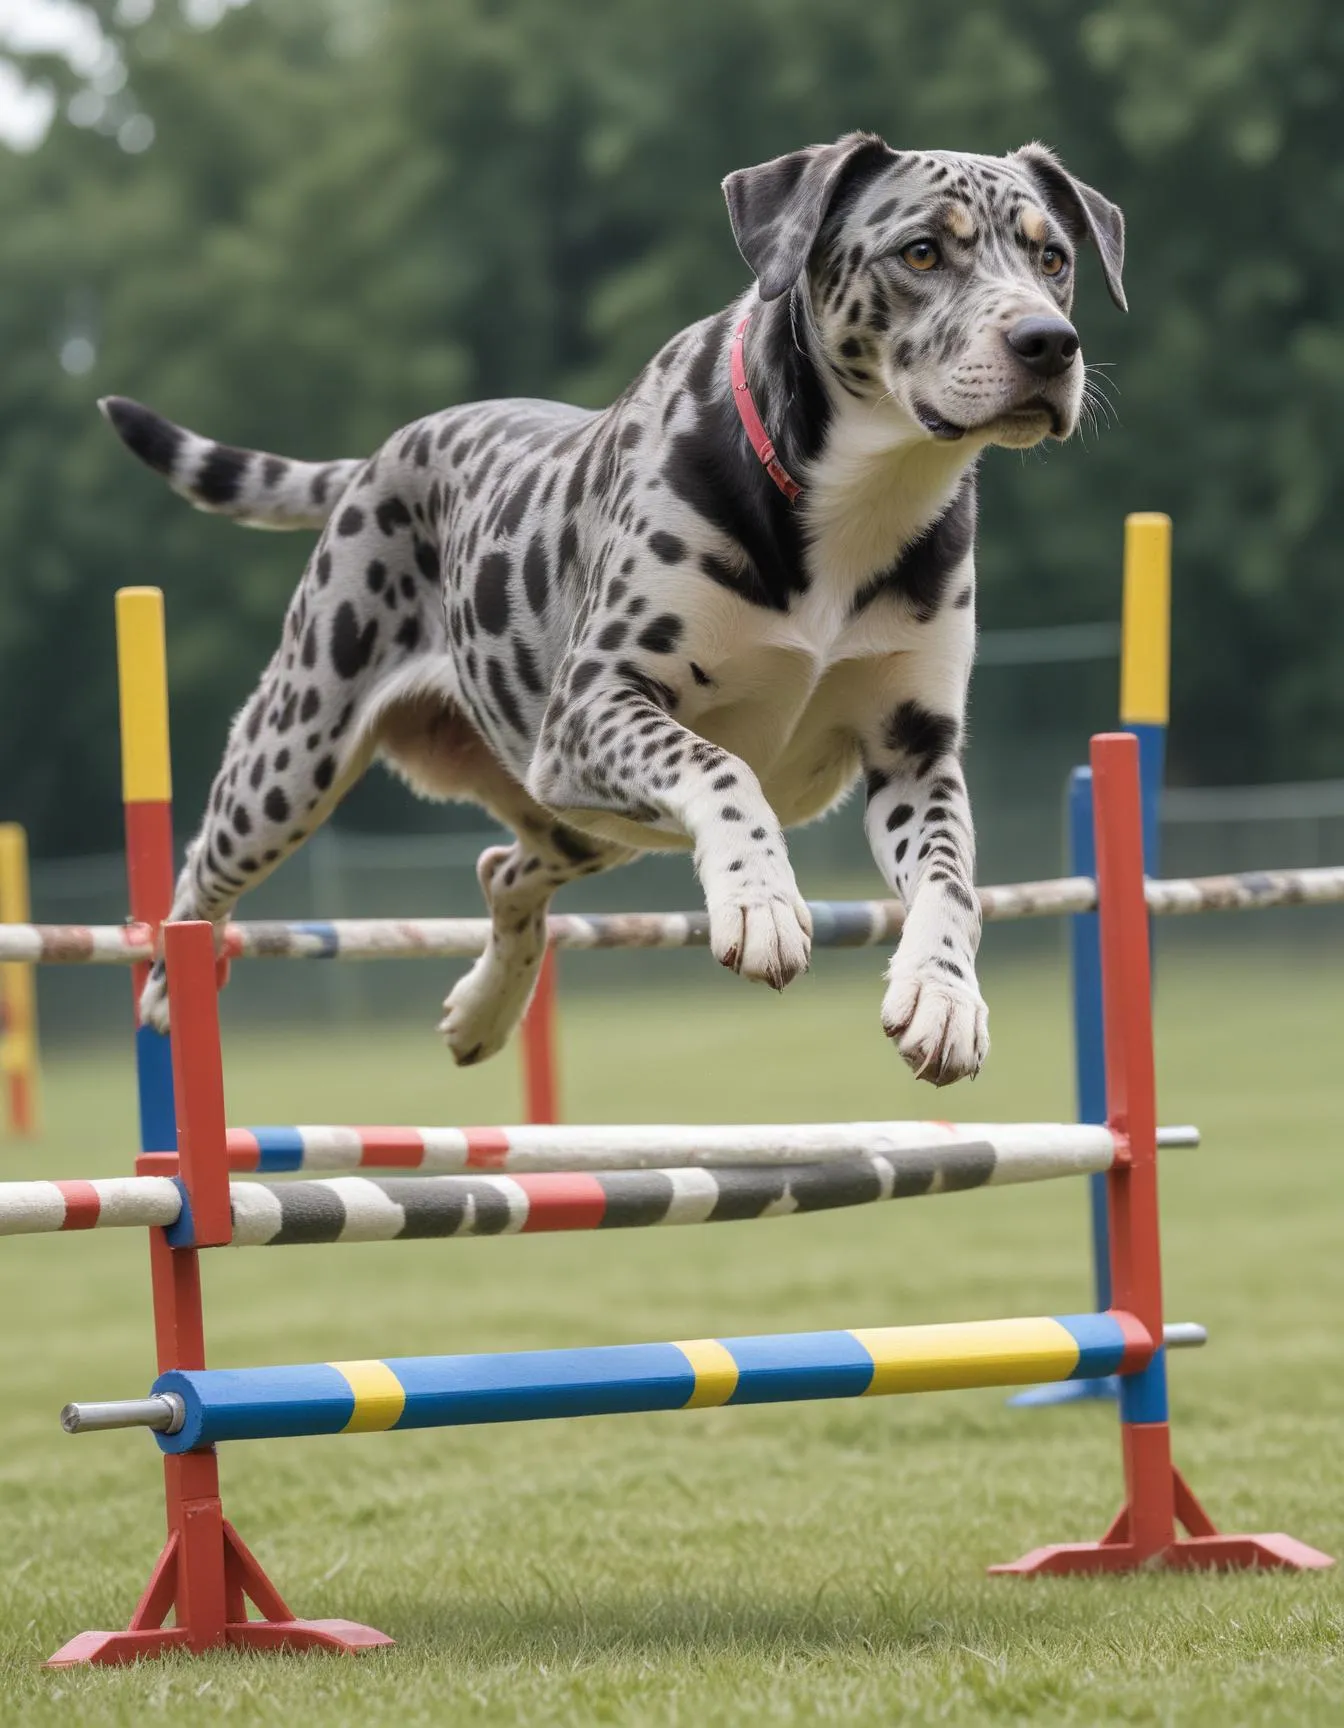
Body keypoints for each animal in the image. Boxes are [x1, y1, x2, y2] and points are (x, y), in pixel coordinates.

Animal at [99, 131, 1119, 1078]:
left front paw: (943, 996)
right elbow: (721, 767)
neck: (858, 499)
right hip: (295, 757)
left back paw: (486, 1009)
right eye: (920, 252)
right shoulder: (601, 700)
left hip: (579, 818)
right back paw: (170, 991)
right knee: (199, 876)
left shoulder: (914, 751)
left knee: (505, 873)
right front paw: (759, 900)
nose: (1047, 342)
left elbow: (952, 886)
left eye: (1053, 257)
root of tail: (381, 455)